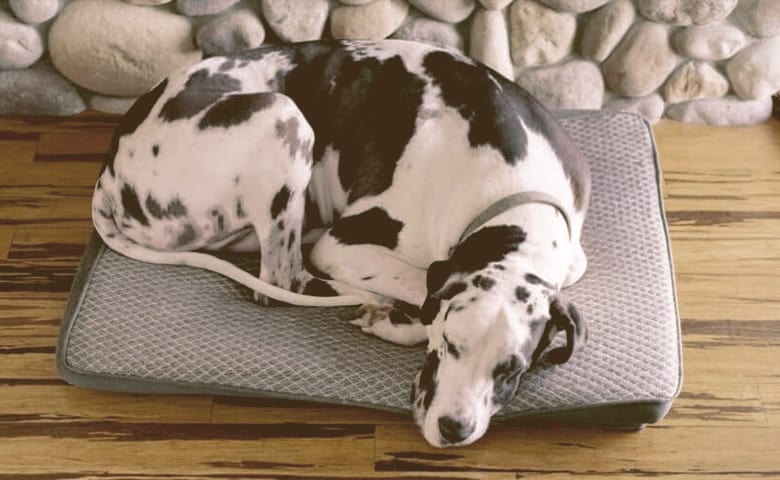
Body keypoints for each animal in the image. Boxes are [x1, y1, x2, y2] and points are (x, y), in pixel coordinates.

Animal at [91, 39, 588, 448]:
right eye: (450, 345)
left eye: (512, 371)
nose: (453, 428)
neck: (514, 191)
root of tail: (111, 170)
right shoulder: (345, 245)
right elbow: (420, 289)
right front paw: (399, 319)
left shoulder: (571, 256)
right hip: (283, 116)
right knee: (283, 280)